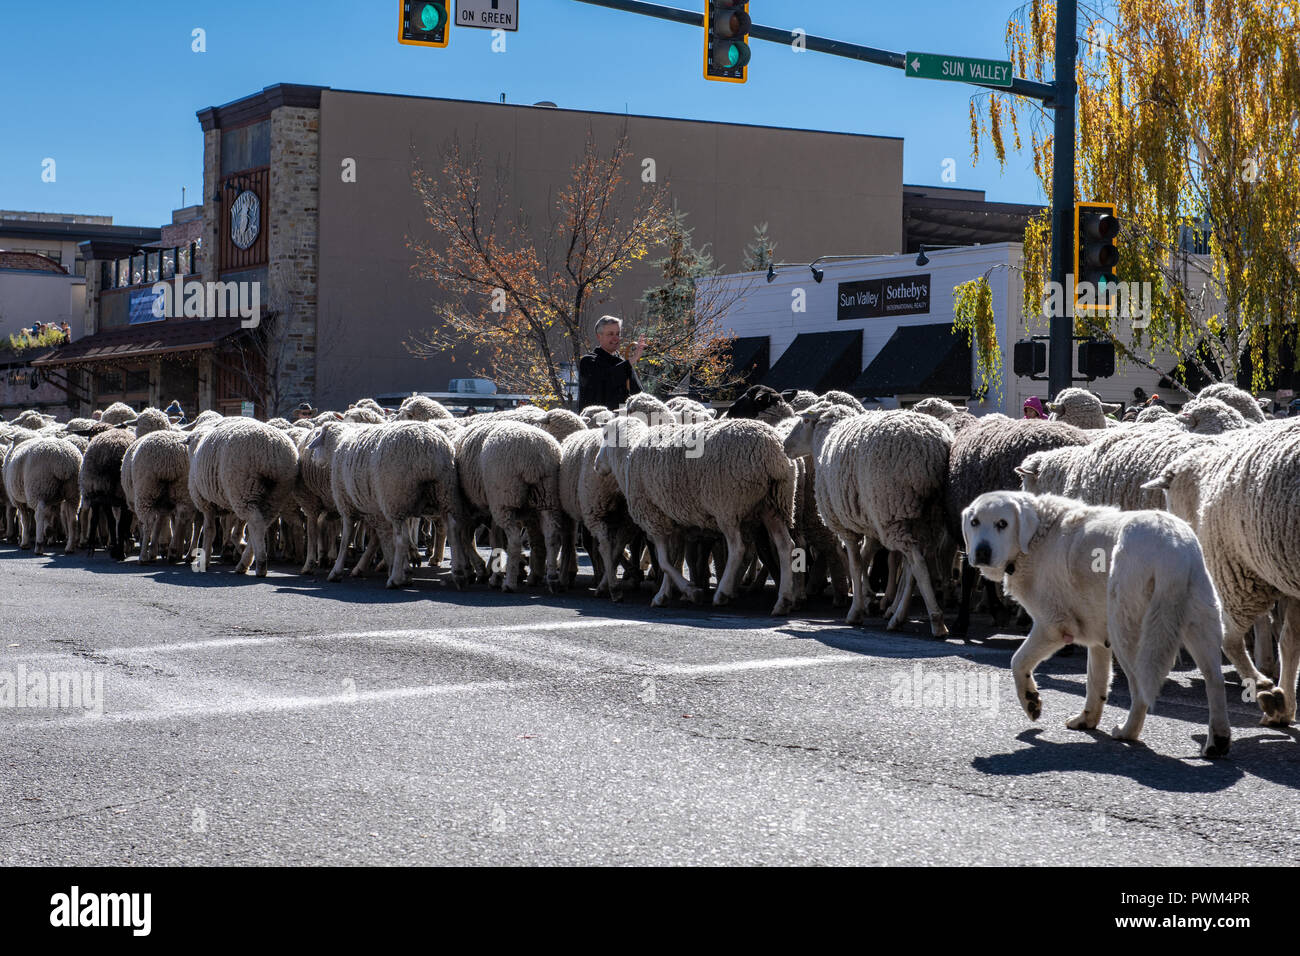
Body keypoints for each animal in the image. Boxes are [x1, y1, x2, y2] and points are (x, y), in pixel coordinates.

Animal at [967, 494, 1227, 754]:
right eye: (974, 522)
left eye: (1002, 524)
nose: (981, 552)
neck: (1037, 535)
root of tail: (1173, 546)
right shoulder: (1098, 638)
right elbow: (1096, 681)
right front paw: (1087, 720)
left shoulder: (1053, 626)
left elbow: (1018, 661)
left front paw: (1031, 701)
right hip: (1200, 625)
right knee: (1215, 681)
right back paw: (1218, 742)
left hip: (1128, 633)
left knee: (1140, 691)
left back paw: (1127, 732)